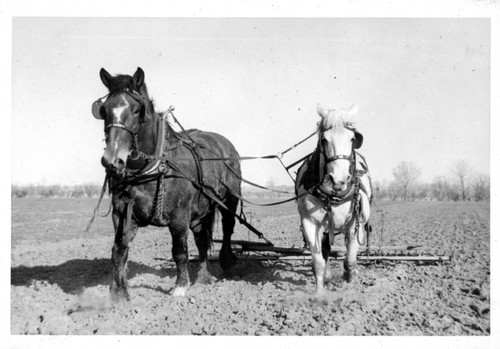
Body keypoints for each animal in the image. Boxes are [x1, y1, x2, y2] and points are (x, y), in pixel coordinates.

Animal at [93, 66, 243, 298]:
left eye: (136, 110)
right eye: (104, 110)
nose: (112, 161)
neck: (149, 168)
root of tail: (227, 145)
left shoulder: (179, 217)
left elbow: (179, 251)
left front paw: (180, 287)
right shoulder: (121, 214)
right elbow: (119, 250)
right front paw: (118, 294)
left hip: (229, 200)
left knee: (228, 227)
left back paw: (226, 261)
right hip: (199, 212)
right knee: (201, 239)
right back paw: (203, 278)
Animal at [296, 104, 372, 294]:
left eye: (352, 139)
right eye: (324, 139)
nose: (338, 180)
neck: (334, 194)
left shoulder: (355, 224)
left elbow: (350, 260)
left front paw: (349, 285)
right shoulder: (309, 223)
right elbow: (318, 261)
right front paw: (319, 293)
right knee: (326, 249)